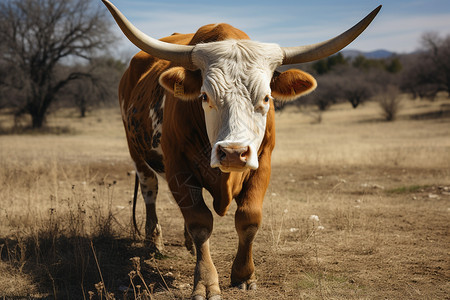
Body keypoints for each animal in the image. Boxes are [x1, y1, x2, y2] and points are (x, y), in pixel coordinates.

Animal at [101, 1, 380, 298]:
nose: (234, 152)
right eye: (204, 96)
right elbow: (200, 222)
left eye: (267, 97)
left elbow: (248, 218)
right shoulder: (178, 166)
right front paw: (206, 281)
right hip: (137, 155)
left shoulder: (263, 162)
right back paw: (154, 243)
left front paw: (244, 275)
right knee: (150, 191)